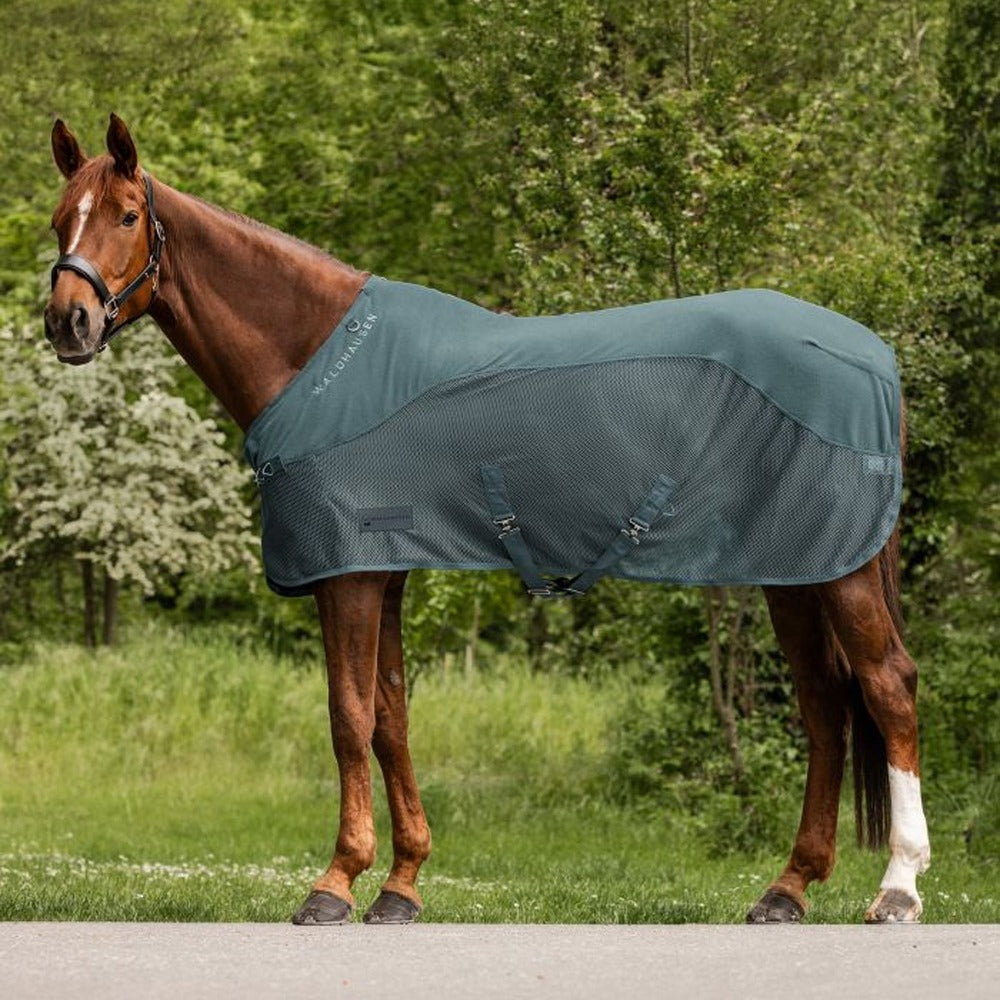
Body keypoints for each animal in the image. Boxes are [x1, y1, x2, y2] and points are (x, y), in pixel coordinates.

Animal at [43, 114, 931, 925]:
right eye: (60, 219)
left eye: (127, 214)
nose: (67, 322)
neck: (317, 358)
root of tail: (872, 354)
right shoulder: (385, 572)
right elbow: (392, 717)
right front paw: (401, 885)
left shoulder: (348, 571)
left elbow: (348, 717)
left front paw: (336, 882)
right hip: (795, 572)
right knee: (825, 708)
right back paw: (787, 889)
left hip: (841, 571)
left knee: (887, 688)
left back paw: (897, 889)